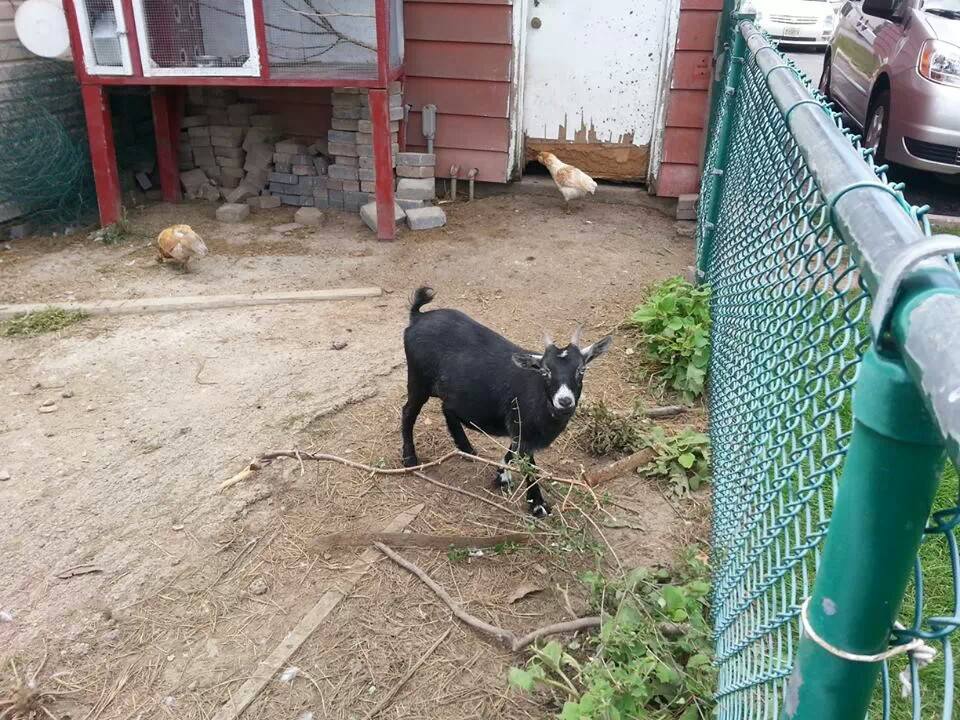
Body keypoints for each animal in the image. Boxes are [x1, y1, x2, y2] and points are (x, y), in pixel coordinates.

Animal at [401, 287, 612, 517]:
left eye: (581, 370)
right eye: (545, 371)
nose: (564, 401)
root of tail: (417, 317)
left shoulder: (518, 428)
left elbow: (512, 451)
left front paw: (501, 474)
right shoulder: (524, 429)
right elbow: (528, 466)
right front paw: (538, 505)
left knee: (447, 407)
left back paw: (466, 449)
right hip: (418, 380)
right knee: (408, 412)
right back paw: (410, 459)